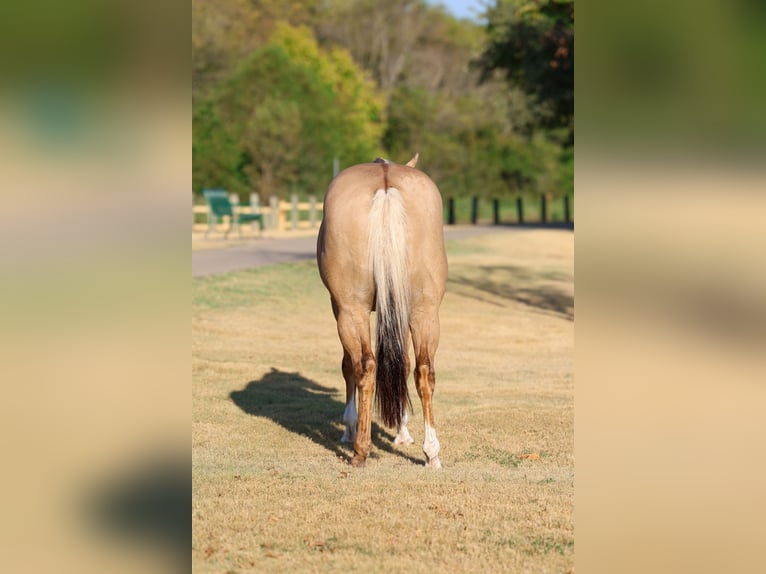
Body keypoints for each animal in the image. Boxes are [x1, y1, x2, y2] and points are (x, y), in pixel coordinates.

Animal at [316, 153, 447, 468]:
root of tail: (386, 184)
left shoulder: (338, 307)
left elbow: (348, 366)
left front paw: (348, 428)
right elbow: (405, 364)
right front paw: (402, 432)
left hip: (351, 310)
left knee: (364, 366)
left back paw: (359, 450)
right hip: (425, 310)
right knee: (424, 370)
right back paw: (432, 453)